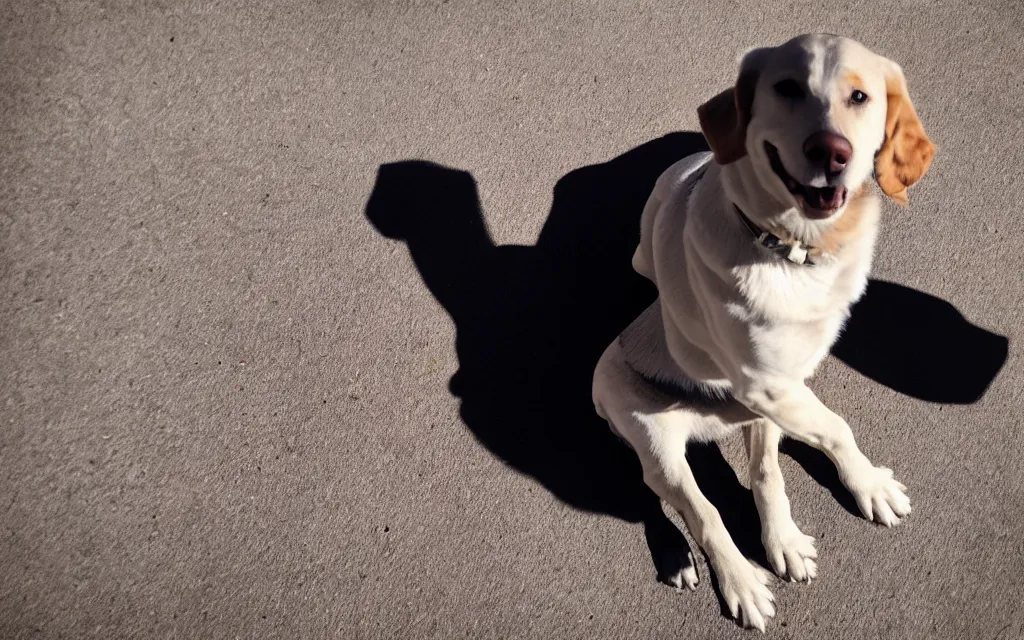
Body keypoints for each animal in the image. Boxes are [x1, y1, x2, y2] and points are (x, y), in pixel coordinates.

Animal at [593, 33, 937, 630]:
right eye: (787, 88)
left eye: (860, 96)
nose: (832, 152)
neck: (796, 252)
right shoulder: (766, 384)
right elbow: (838, 427)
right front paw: (871, 483)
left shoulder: (777, 391)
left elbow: (774, 469)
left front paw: (798, 532)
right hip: (654, 441)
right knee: (693, 507)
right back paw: (728, 576)